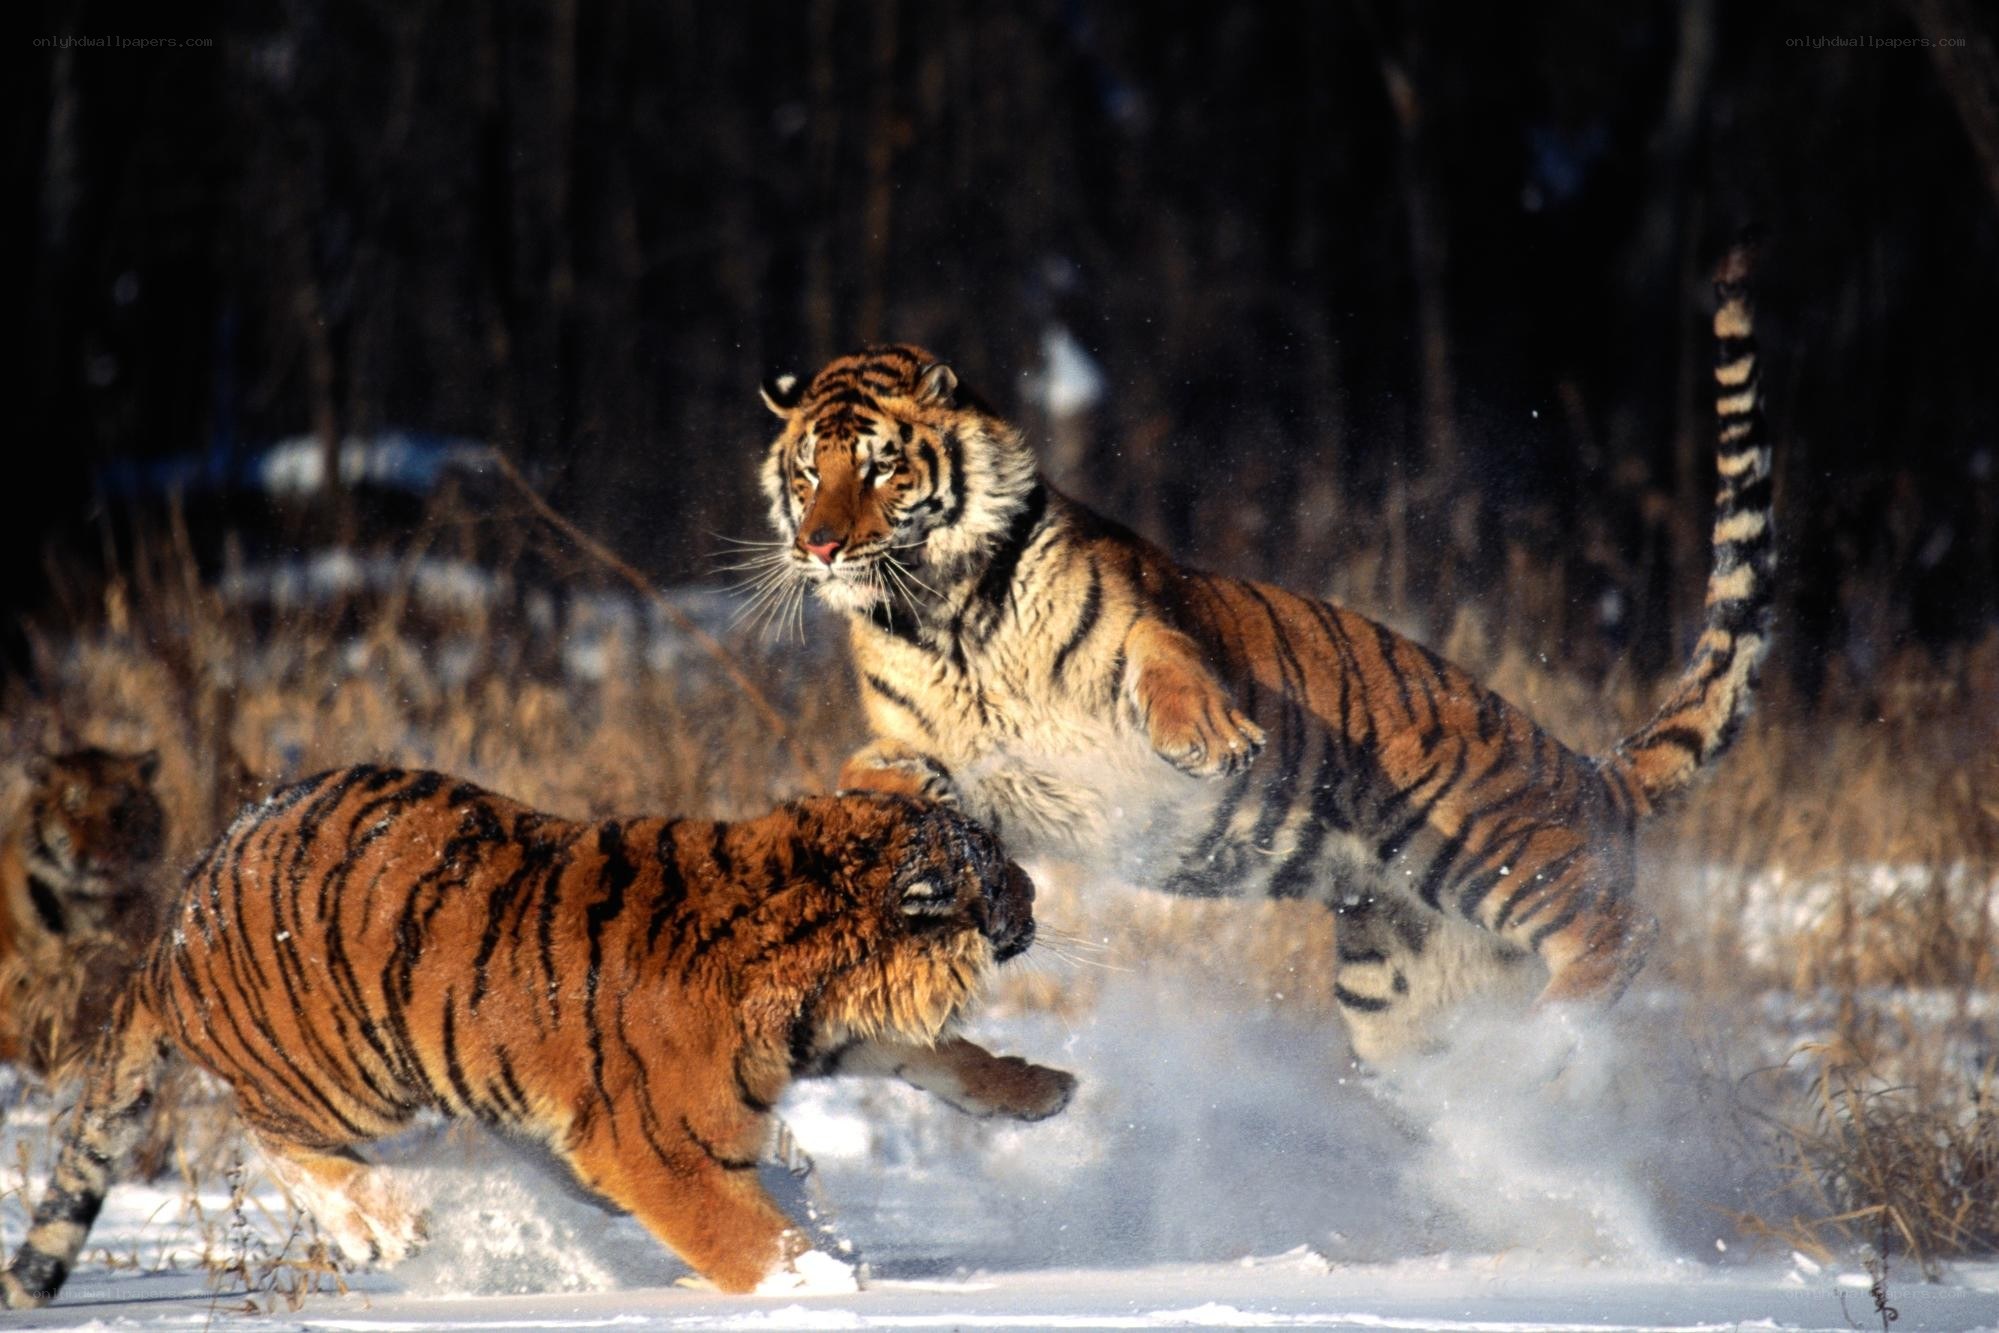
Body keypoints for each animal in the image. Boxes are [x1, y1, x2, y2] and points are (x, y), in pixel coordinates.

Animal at [752, 243, 1773, 1063]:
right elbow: (873, 772)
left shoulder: (1146, 614)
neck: (941, 615)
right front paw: (890, 812)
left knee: (1621, 927)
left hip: (1481, 839)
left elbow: (1166, 663)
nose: (820, 545)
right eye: (806, 471)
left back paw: (1551, 1042)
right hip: (1393, 986)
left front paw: (1213, 741)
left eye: (881, 466)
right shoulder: (937, 748)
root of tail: (1595, 771)